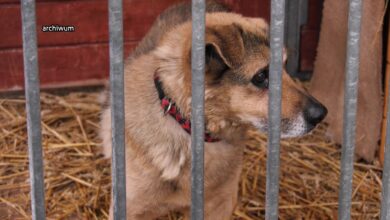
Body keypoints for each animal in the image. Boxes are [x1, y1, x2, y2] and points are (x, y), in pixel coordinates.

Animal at [99, 2, 328, 220]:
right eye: (261, 76)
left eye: (284, 67)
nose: (321, 114)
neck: (191, 129)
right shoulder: (129, 208)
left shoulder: (220, 205)